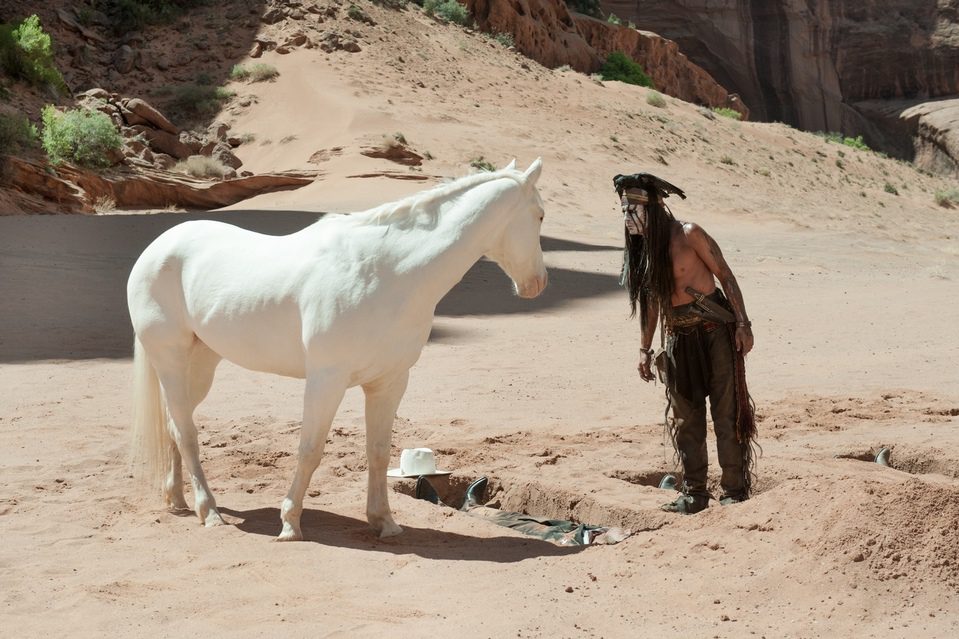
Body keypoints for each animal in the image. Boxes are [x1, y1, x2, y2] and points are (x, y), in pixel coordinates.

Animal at [129, 159, 548, 540]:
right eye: (541, 215)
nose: (539, 284)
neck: (389, 273)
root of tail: (158, 248)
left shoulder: (389, 382)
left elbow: (378, 451)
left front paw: (384, 522)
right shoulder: (326, 381)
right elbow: (310, 449)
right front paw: (290, 523)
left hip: (200, 364)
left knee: (175, 425)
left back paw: (179, 500)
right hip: (171, 359)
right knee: (186, 432)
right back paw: (210, 512)